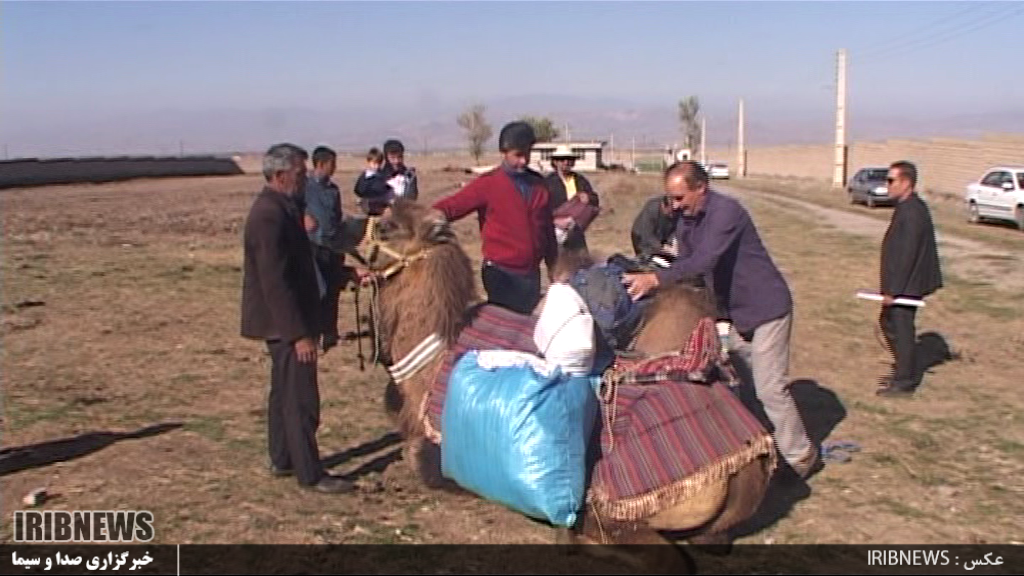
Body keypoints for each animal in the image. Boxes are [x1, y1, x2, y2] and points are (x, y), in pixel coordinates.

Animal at [356, 199, 770, 553]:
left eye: (388, 227)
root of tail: (747, 464)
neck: (433, 353)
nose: (356, 226)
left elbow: (420, 460)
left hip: (630, 501)